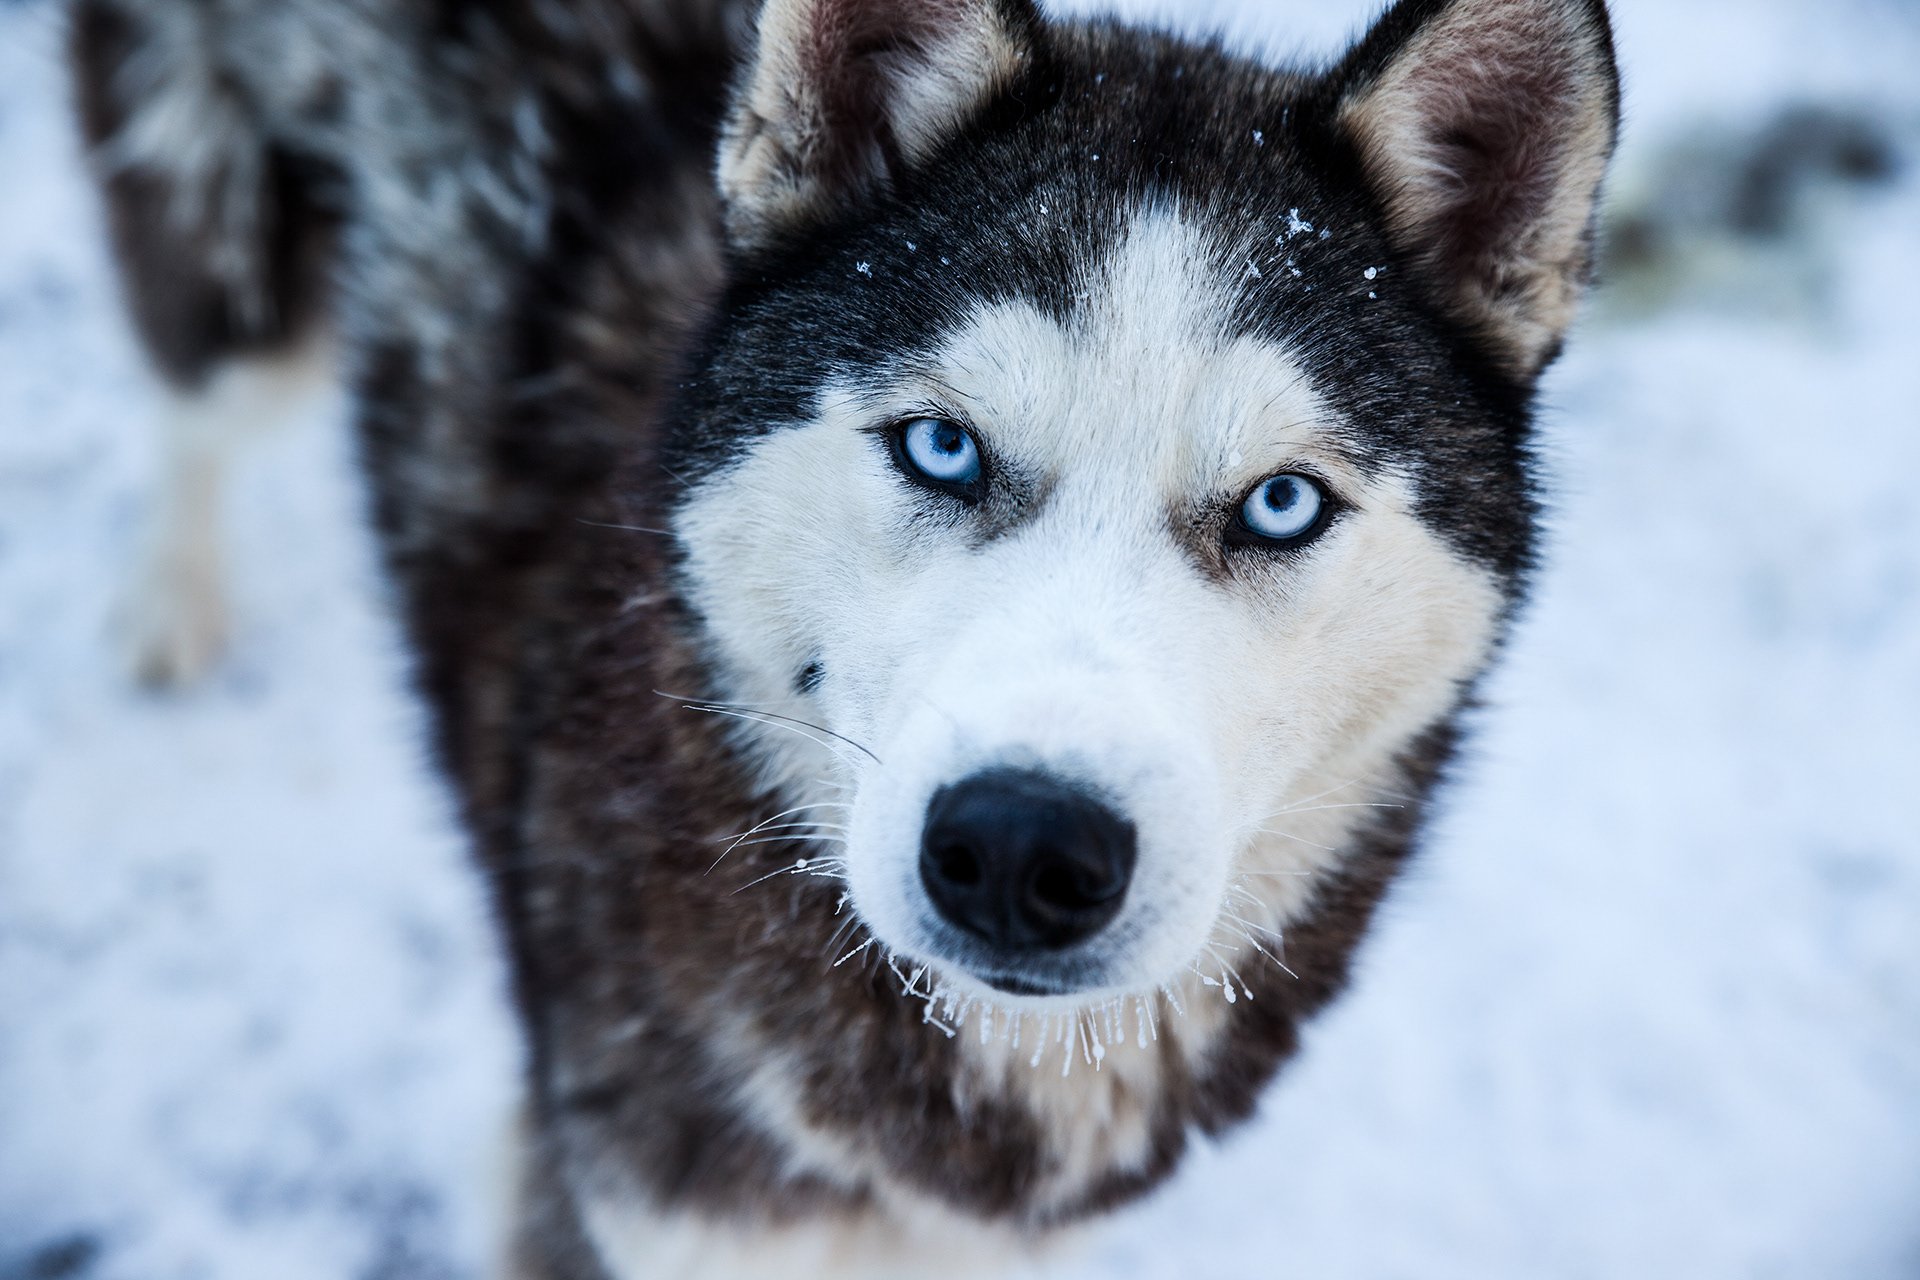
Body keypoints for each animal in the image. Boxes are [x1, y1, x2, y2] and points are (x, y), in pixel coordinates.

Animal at [74, 0, 1620, 1274]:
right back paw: (167, 602)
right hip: (230, 267)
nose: (1022, 849)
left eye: (1283, 503)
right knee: (194, 403)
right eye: (942, 445)